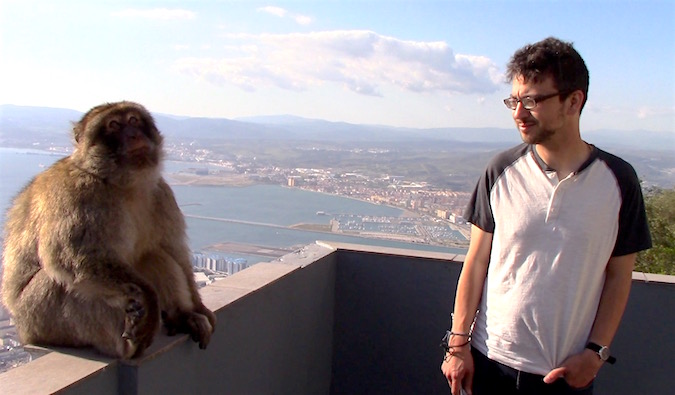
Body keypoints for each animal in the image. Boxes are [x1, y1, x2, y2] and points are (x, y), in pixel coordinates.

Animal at [0, 101, 215, 358]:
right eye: (113, 125)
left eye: (133, 120)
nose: (133, 134)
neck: (123, 184)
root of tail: (23, 332)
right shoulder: (78, 194)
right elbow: (74, 258)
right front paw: (150, 302)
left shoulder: (162, 193)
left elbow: (175, 251)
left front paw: (198, 307)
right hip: (39, 318)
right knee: (63, 283)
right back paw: (127, 347)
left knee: (152, 256)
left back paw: (181, 316)